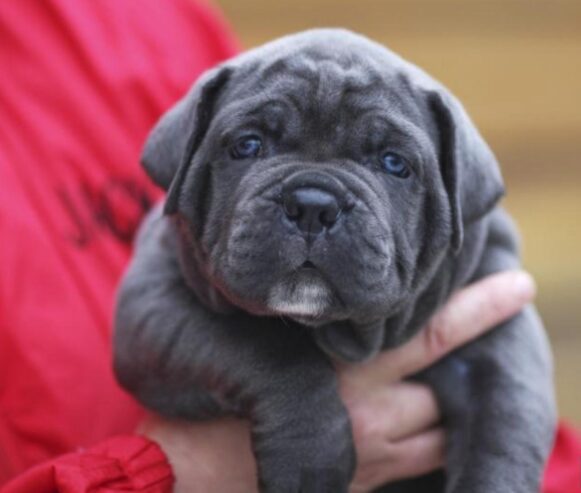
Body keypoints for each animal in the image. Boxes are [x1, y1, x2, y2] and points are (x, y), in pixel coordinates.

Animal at [112, 28, 552, 490]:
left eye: (394, 163)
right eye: (248, 145)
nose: (312, 204)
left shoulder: (498, 341)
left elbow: (500, 434)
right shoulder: (155, 306)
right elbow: (269, 349)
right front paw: (310, 460)